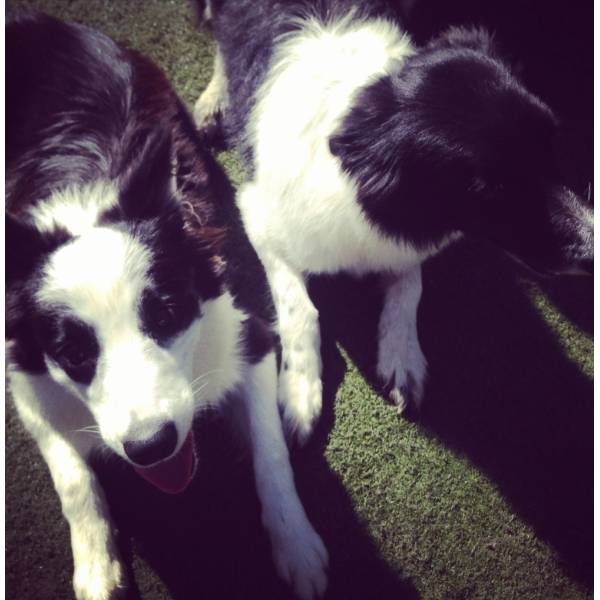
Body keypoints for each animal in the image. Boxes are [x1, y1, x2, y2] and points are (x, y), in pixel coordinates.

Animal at [4, 10, 326, 600]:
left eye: (166, 313)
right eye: (74, 354)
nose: (152, 447)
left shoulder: (246, 332)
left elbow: (271, 456)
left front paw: (297, 547)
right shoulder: (25, 381)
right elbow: (72, 478)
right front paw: (97, 570)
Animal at [192, 0, 592, 440]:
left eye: (551, 144)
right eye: (491, 188)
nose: (594, 249)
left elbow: (410, 285)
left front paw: (402, 353)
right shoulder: (257, 213)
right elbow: (300, 307)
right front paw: (300, 388)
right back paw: (215, 100)